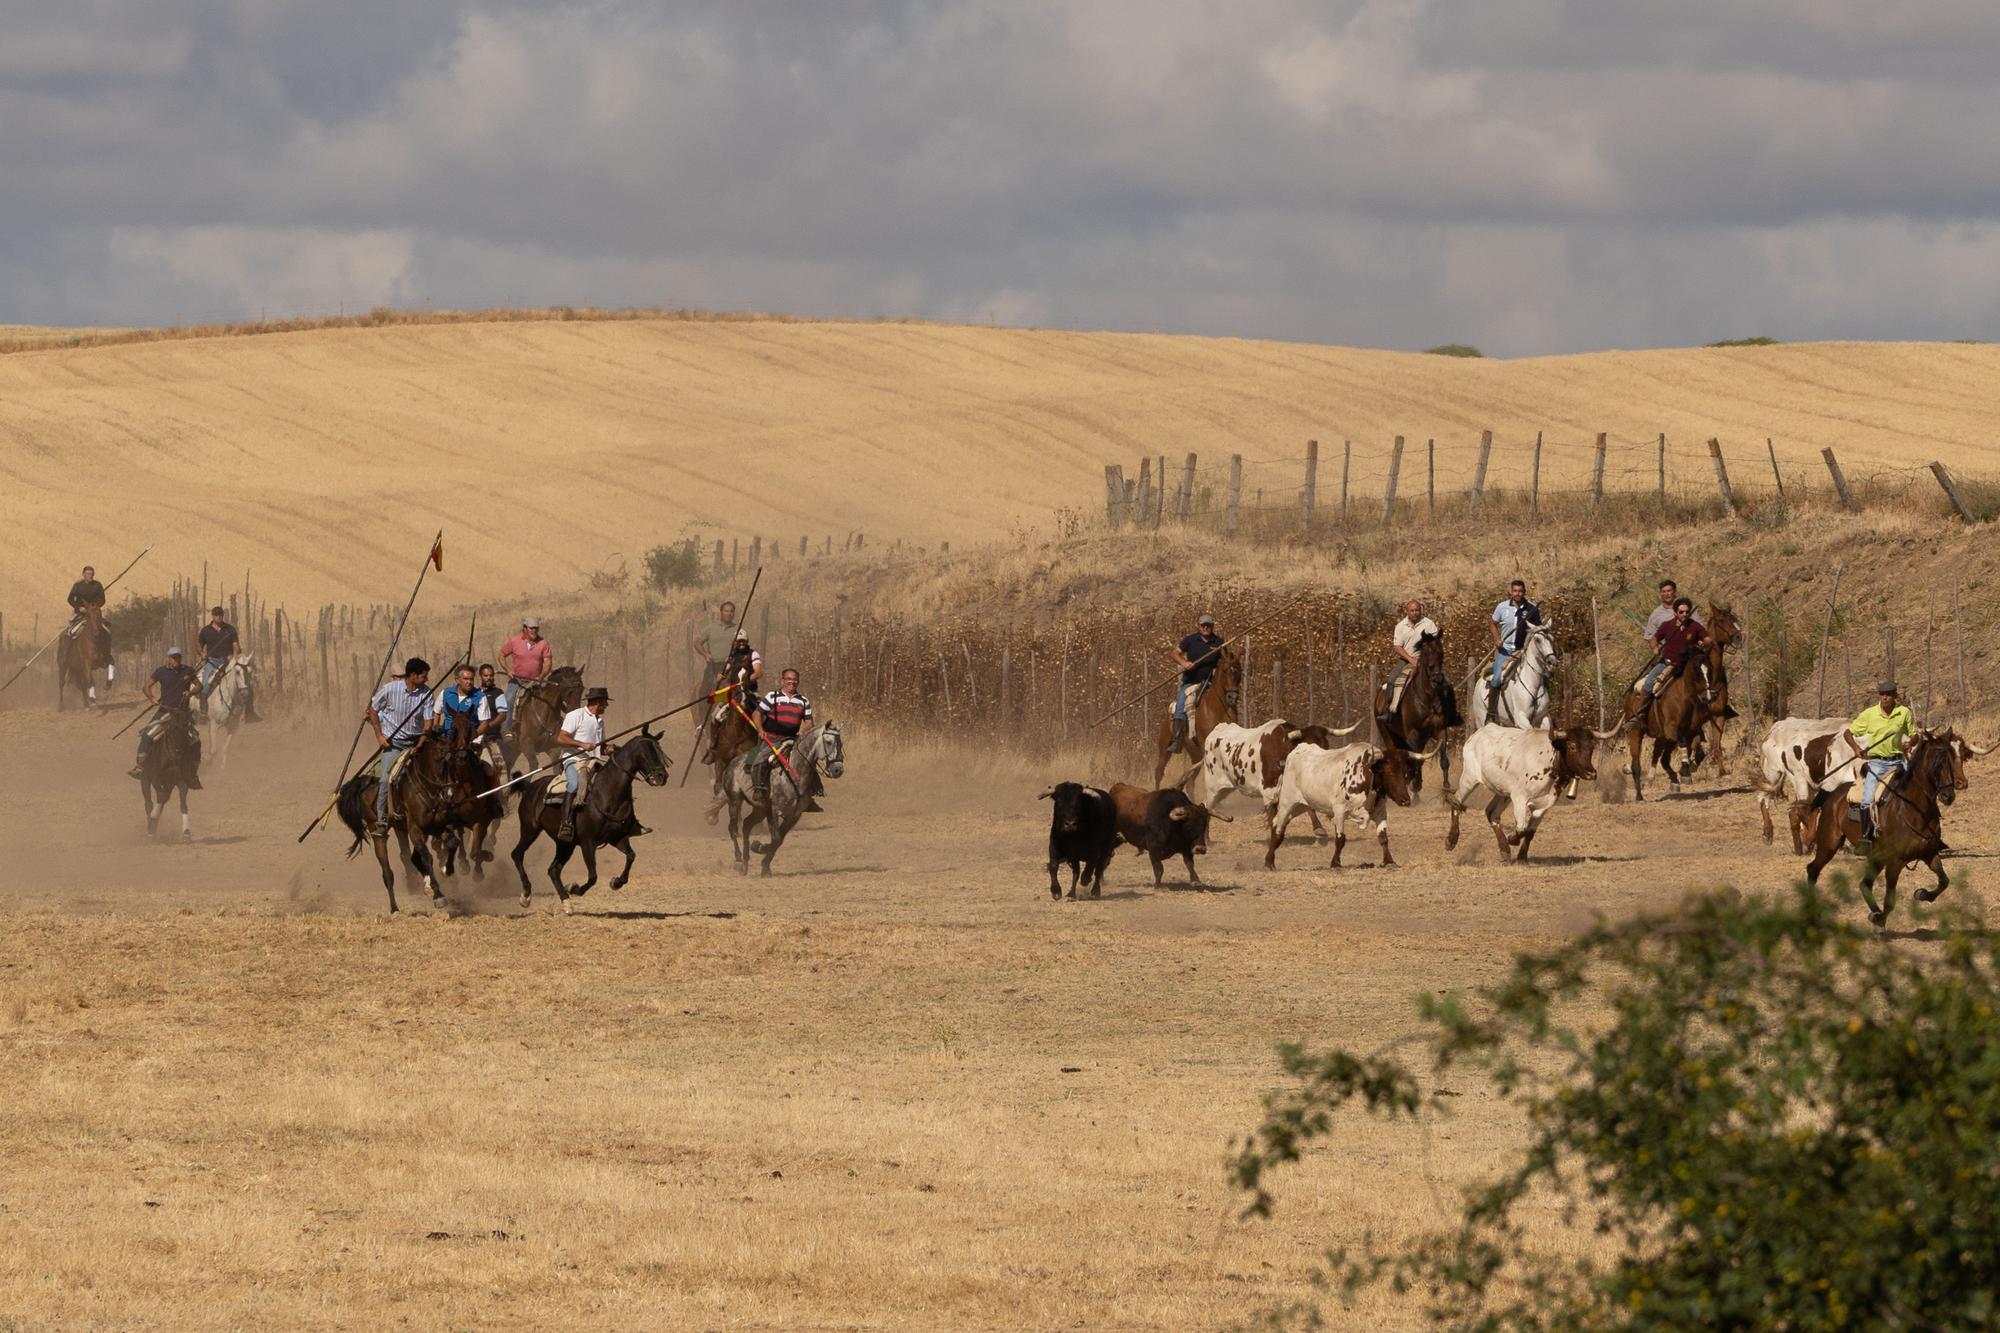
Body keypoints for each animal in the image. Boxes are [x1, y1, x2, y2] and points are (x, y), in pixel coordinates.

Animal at [137, 700, 199, 836]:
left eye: (187, 726)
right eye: (174, 726)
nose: (179, 751)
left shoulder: (180, 780)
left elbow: (182, 803)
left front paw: (186, 831)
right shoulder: (154, 777)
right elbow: (161, 796)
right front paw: (153, 818)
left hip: (168, 783)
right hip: (145, 779)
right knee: (149, 803)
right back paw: (150, 827)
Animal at [720, 720, 844, 876]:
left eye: (841, 743)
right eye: (828, 742)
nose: (838, 770)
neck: (794, 772)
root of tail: (732, 763)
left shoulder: (794, 814)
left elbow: (778, 841)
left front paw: (763, 861)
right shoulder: (774, 810)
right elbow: (776, 838)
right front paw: (759, 850)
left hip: (760, 809)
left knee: (747, 825)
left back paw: (745, 863)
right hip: (734, 800)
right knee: (733, 829)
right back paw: (738, 861)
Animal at [1152, 648, 1240, 784]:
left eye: (1239, 670)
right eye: (1225, 670)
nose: (1232, 697)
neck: (1216, 709)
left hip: (1194, 752)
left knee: (1190, 780)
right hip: (1164, 747)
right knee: (1159, 772)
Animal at [1368, 628, 1464, 792]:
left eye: (1441, 652)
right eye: (1425, 653)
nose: (1437, 679)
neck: (1428, 698)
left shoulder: (1440, 730)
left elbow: (1443, 758)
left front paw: (1446, 785)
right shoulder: (1413, 735)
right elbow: (1417, 760)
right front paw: (1416, 785)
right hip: (1388, 736)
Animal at [1808, 728, 1960, 924]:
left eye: (1953, 760)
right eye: (1937, 764)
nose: (1949, 796)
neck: (1914, 809)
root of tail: (1832, 793)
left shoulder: (1929, 853)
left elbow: (1944, 881)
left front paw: (1921, 894)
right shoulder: (1895, 862)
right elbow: (1890, 902)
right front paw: (1880, 918)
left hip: (1876, 856)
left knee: (1864, 884)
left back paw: (1874, 914)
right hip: (1829, 843)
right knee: (1813, 870)